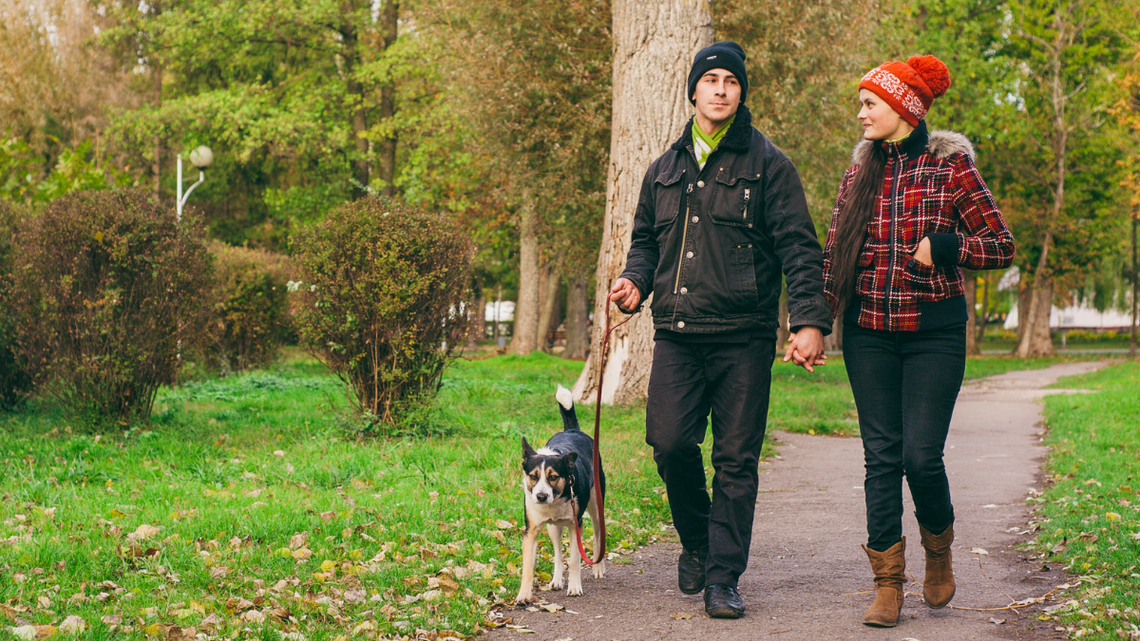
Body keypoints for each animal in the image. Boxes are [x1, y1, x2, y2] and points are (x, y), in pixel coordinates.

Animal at [517, 383, 606, 602]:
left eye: (553, 477)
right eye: (533, 476)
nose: (541, 497)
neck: (555, 501)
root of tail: (573, 430)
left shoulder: (576, 524)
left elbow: (574, 560)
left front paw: (574, 587)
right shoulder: (531, 529)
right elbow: (528, 566)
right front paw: (524, 594)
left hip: (595, 505)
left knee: (598, 537)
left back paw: (598, 567)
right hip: (552, 528)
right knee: (557, 552)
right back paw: (556, 580)